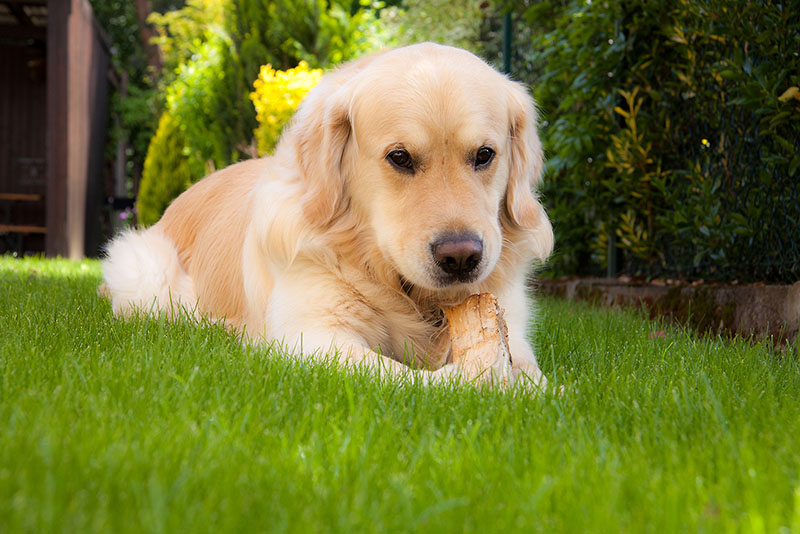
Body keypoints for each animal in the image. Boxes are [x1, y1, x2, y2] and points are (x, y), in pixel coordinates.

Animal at [103, 42, 552, 386]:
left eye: (485, 155)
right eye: (400, 157)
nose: (460, 257)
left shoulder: (509, 327)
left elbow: (534, 375)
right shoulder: (311, 336)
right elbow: (402, 375)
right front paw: (471, 380)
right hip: (148, 278)